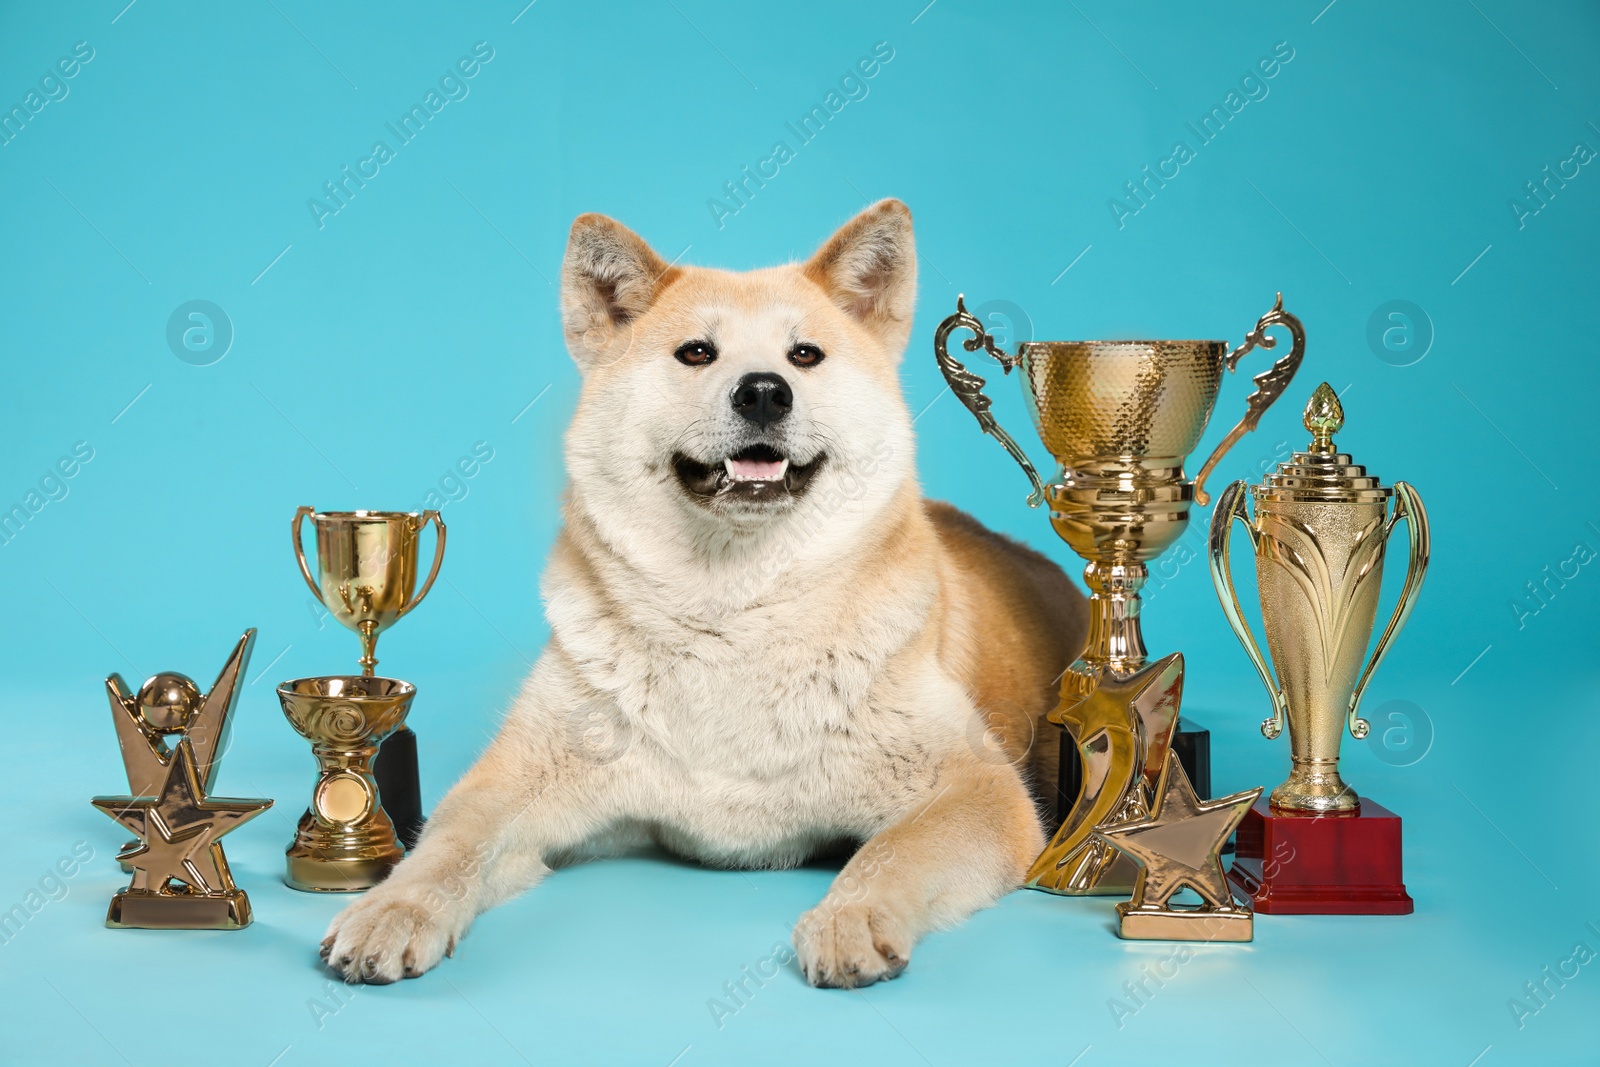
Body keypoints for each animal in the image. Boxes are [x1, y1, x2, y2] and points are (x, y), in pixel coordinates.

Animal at [324, 198, 1088, 985]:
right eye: (696, 353)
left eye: (804, 355)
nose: (763, 391)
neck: (735, 614)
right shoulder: (515, 781)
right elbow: (449, 841)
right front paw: (395, 906)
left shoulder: (978, 789)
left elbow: (892, 851)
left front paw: (851, 915)